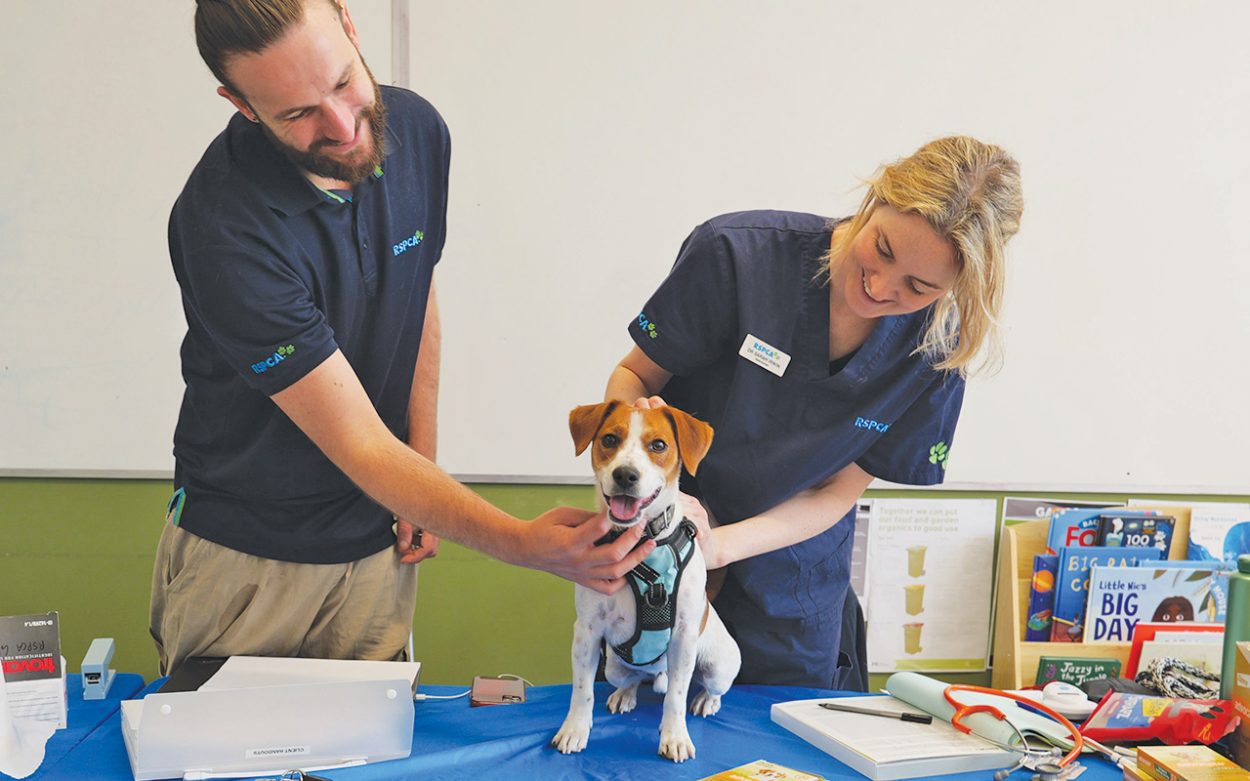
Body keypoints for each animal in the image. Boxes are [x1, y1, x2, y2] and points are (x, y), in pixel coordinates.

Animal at [552, 402, 735, 759]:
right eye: (610, 439)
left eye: (659, 445)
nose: (625, 475)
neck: (640, 542)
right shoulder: (587, 631)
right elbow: (582, 690)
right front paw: (575, 729)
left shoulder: (683, 636)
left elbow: (675, 697)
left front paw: (675, 737)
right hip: (613, 667)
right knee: (633, 678)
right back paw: (626, 694)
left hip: (718, 665)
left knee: (709, 687)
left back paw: (707, 700)